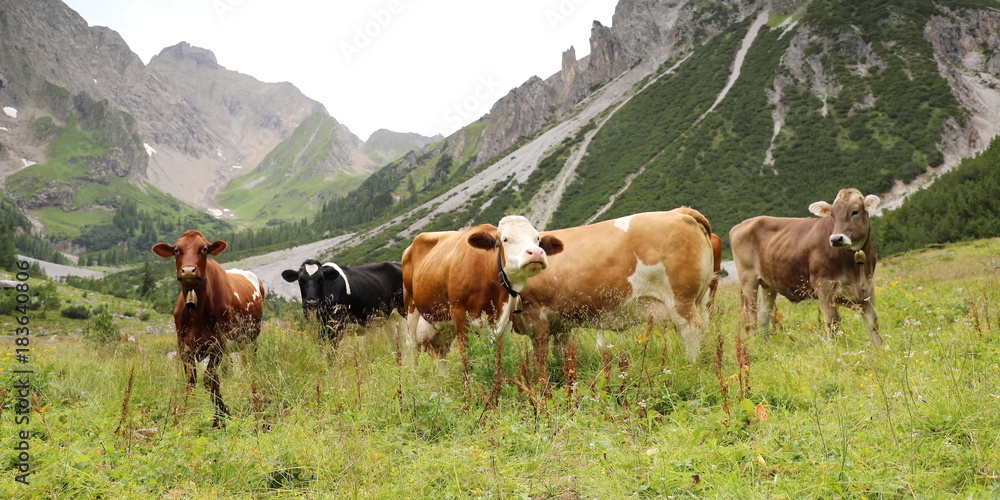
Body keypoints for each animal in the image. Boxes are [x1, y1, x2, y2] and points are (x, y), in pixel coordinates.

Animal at [152, 230, 265, 426]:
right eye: (176, 250)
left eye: (204, 249)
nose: (188, 270)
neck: (196, 312)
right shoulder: (183, 346)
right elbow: (190, 381)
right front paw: (184, 415)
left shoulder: (219, 343)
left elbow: (209, 379)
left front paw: (220, 417)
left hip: (252, 341)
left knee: (250, 366)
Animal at [402, 215, 564, 357]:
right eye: (505, 239)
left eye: (537, 239)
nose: (536, 252)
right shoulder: (459, 315)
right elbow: (467, 358)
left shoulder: (506, 322)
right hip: (411, 309)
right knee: (412, 347)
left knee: (441, 352)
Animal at [515, 207, 716, 364]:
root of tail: (678, 212)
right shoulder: (560, 321)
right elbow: (561, 351)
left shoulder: (534, 313)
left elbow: (540, 354)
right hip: (694, 300)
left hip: (680, 298)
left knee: (690, 329)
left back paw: (689, 363)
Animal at [728, 188, 882, 347]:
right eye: (832, 215)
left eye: (855, 211)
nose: (836, 239)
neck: (855, 265)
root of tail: (742, 224)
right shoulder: (823, 286)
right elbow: (832, 323)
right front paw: (834, 349)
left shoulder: (868, 286)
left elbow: (873, 323)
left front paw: (880, 348)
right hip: (748, 279)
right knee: (751, 314)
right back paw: (754, 344)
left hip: (768, 284)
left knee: (763, 314)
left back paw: (765, 345)